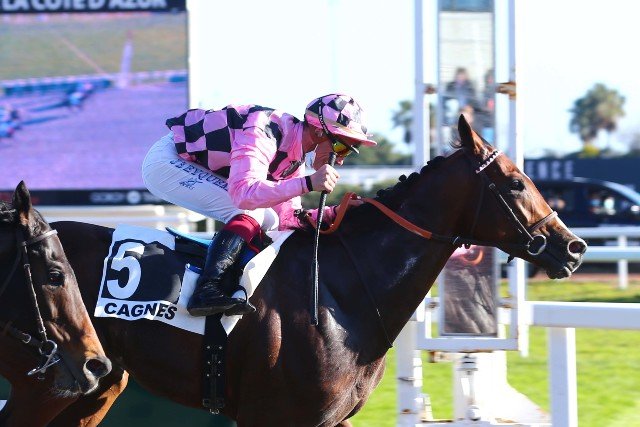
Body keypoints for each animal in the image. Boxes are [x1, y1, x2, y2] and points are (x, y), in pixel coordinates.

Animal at [29, 115, 585, 426]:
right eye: (515, 183)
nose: (573, 247)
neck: (343, 292)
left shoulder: (328, 420)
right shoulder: (270, 414)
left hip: (96, 387)